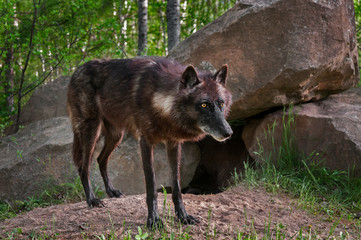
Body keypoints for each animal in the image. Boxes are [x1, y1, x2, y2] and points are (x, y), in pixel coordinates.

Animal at [66, 57, 232, 228]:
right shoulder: (145, 142)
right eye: (204, 104)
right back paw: (92, 199)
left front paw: (183, 216)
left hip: (116, 135)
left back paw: (111, 191)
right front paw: (154, 219)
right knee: (83, 166)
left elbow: (177, 186)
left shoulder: (173, 144)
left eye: (221, 103)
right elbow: (151, 186)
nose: (228, 132)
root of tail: (77, 70)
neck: (160, 104)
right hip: (91, 132)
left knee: (101, 160)